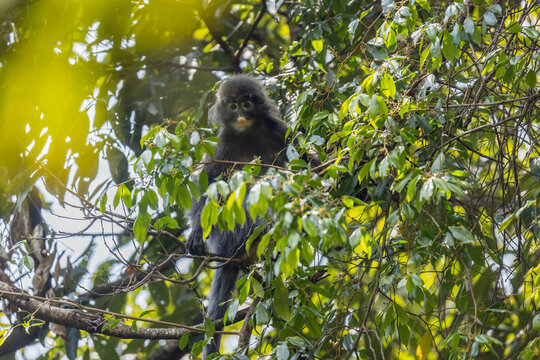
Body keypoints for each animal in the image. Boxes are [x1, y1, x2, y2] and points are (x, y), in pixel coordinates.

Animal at [187, 74, 292, 358]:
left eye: (247, 103)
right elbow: (208, 185)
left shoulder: (278, 129)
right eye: (233, 107)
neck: (248, 132)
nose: (241, 115)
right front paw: (195, 235)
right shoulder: (223, 141)